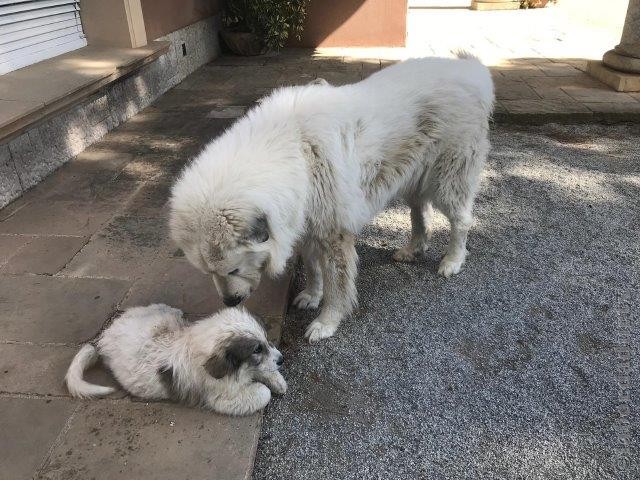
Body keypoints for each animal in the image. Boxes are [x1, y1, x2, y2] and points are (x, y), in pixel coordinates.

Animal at [65, 306, 284, 414]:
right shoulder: (220, 398)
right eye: (257, 349)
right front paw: (266, 383)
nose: (282, 359)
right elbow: (263, 392)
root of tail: (103, 336)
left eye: (266, 340)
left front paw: (278, 380)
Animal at [170, 53, 496, 342]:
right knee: (419, 212)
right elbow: (313, 268)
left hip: (448, 178)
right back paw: (412, 249)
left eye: (233, 269)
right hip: (412, 177)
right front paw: (311, 295)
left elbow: (336, 283)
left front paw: (326, 322)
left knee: (461, 220)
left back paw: (453, 260)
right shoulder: (304, 223)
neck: (292, 151)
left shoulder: (333, 232)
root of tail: (473, 71)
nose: (229, 302)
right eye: (207, 272)